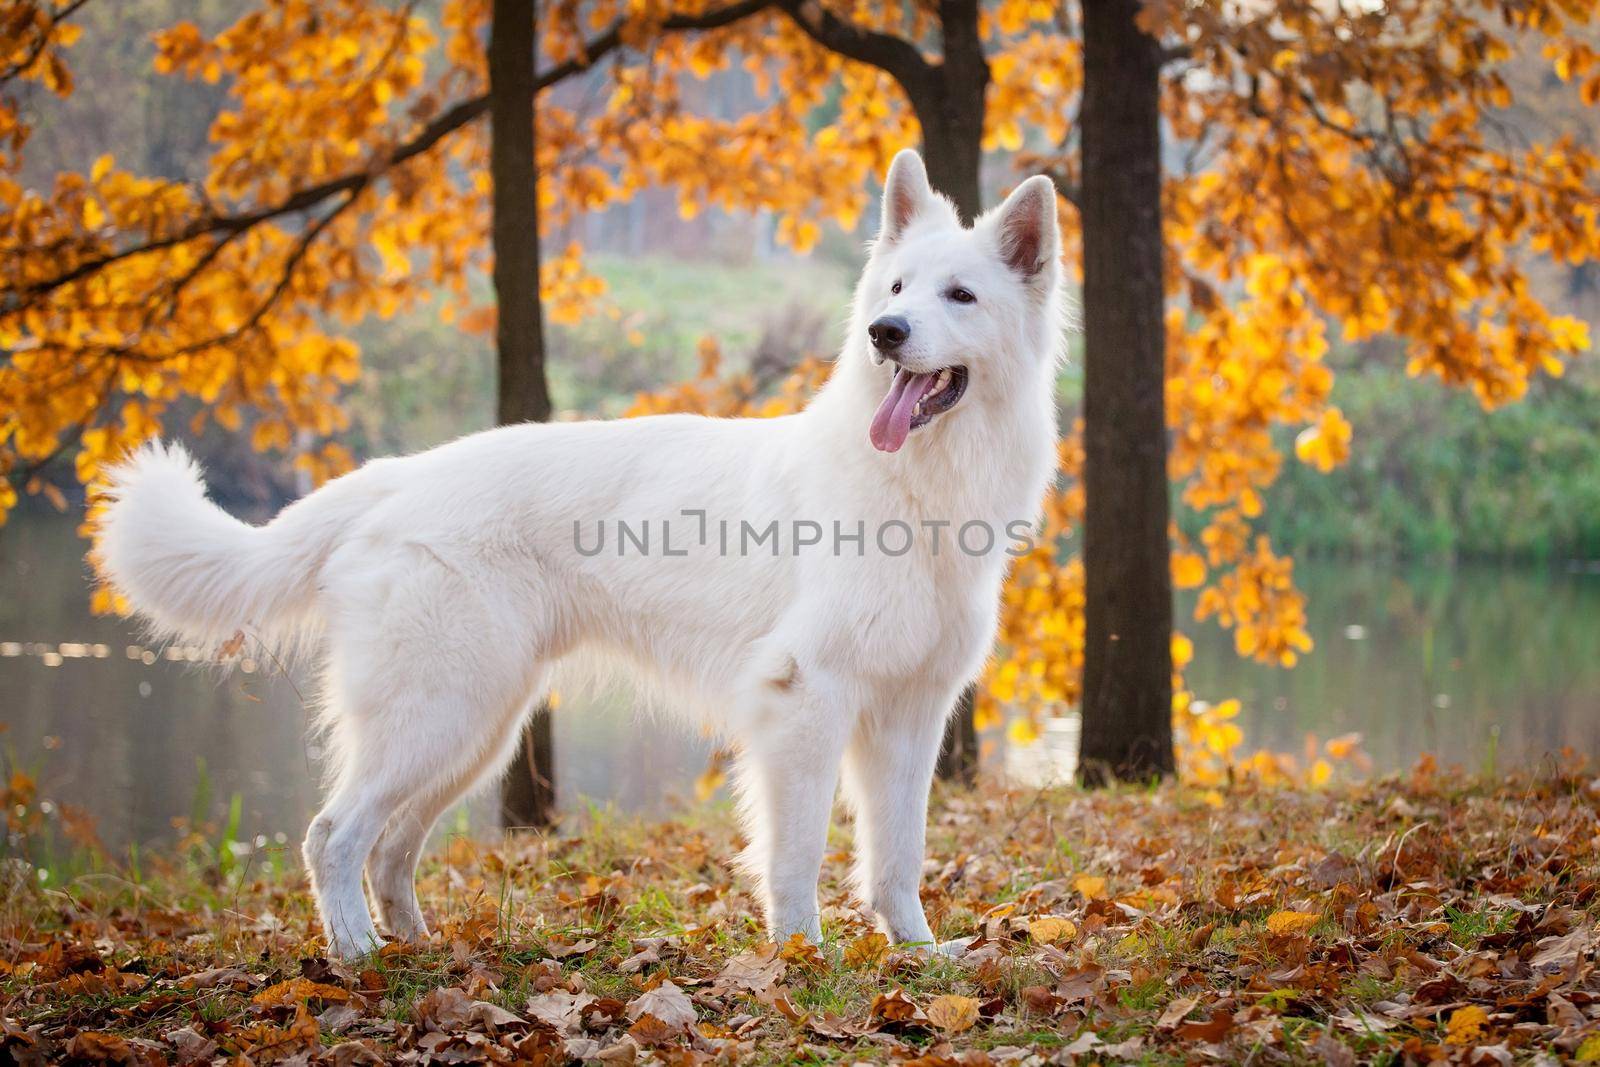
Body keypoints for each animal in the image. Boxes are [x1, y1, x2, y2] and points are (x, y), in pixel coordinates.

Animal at [96, 150, 1062, 959]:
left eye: (960, 296)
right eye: (896, 287)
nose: (885, 332)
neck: (914, 489)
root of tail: (395, 474)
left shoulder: (909, 717)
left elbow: (898, 855)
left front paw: (917, 954)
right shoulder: (804, 702)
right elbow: (795, 857)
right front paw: (801, 958)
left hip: (475, 729)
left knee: (390, 848)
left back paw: (416, 947)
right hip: (441, 713)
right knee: (333, 834)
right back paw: (359, 955)